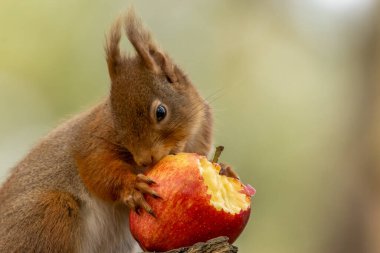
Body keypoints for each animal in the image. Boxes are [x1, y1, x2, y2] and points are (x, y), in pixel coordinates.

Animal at [0, 7, 238, 253]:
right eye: (115, 119)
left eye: (160, 112)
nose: (145, 159)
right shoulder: (92, 139)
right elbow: (96, 166)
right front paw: (132, 186)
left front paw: (226, 170)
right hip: (48, 211)